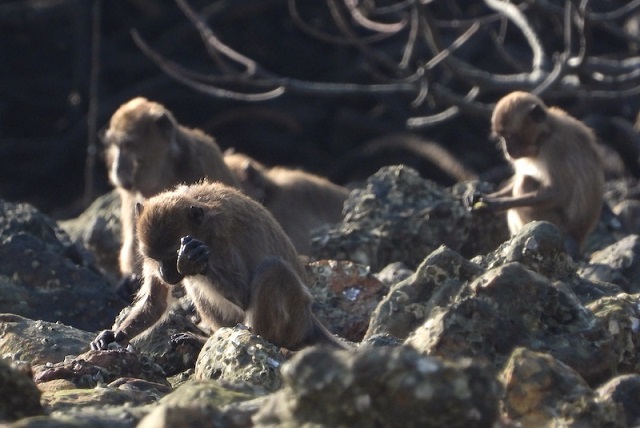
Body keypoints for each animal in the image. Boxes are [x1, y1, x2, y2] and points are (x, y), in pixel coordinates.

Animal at [90, 181, 344, 352]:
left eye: (171, 256)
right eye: (154, 257)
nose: (163, 272)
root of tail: (309, 320)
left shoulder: (221, 241)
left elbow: (244, 295)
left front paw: (191, 260)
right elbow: (155, 302)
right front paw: (114, 336)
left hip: (294, 318)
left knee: (272, 268)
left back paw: (259, 339)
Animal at [102, 97, 238, 298]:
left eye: (128, 145)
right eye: (116, 146)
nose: (117, 168)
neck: (165, 171)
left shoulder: (199, 161)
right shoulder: (131, 193)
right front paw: (129, 279)